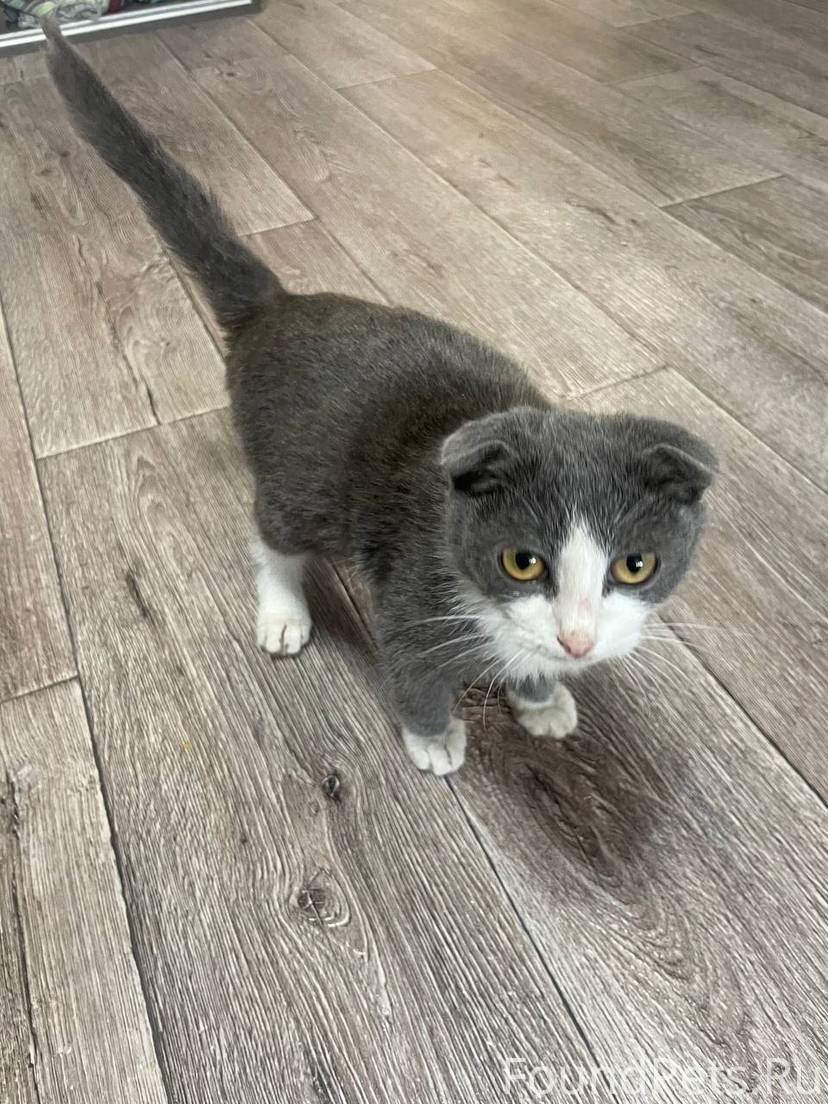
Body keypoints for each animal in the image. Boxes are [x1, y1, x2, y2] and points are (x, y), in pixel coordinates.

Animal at [44, 20, 715, 775]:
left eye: (636, 565)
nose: (578, 641)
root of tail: (279, 308)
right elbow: (411, 671)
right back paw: (283, 610)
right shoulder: (412, 595)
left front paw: (542, 697)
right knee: (271, 531)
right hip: (297, 478)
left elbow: (528, 661)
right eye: (522, 562)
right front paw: (434, 737)